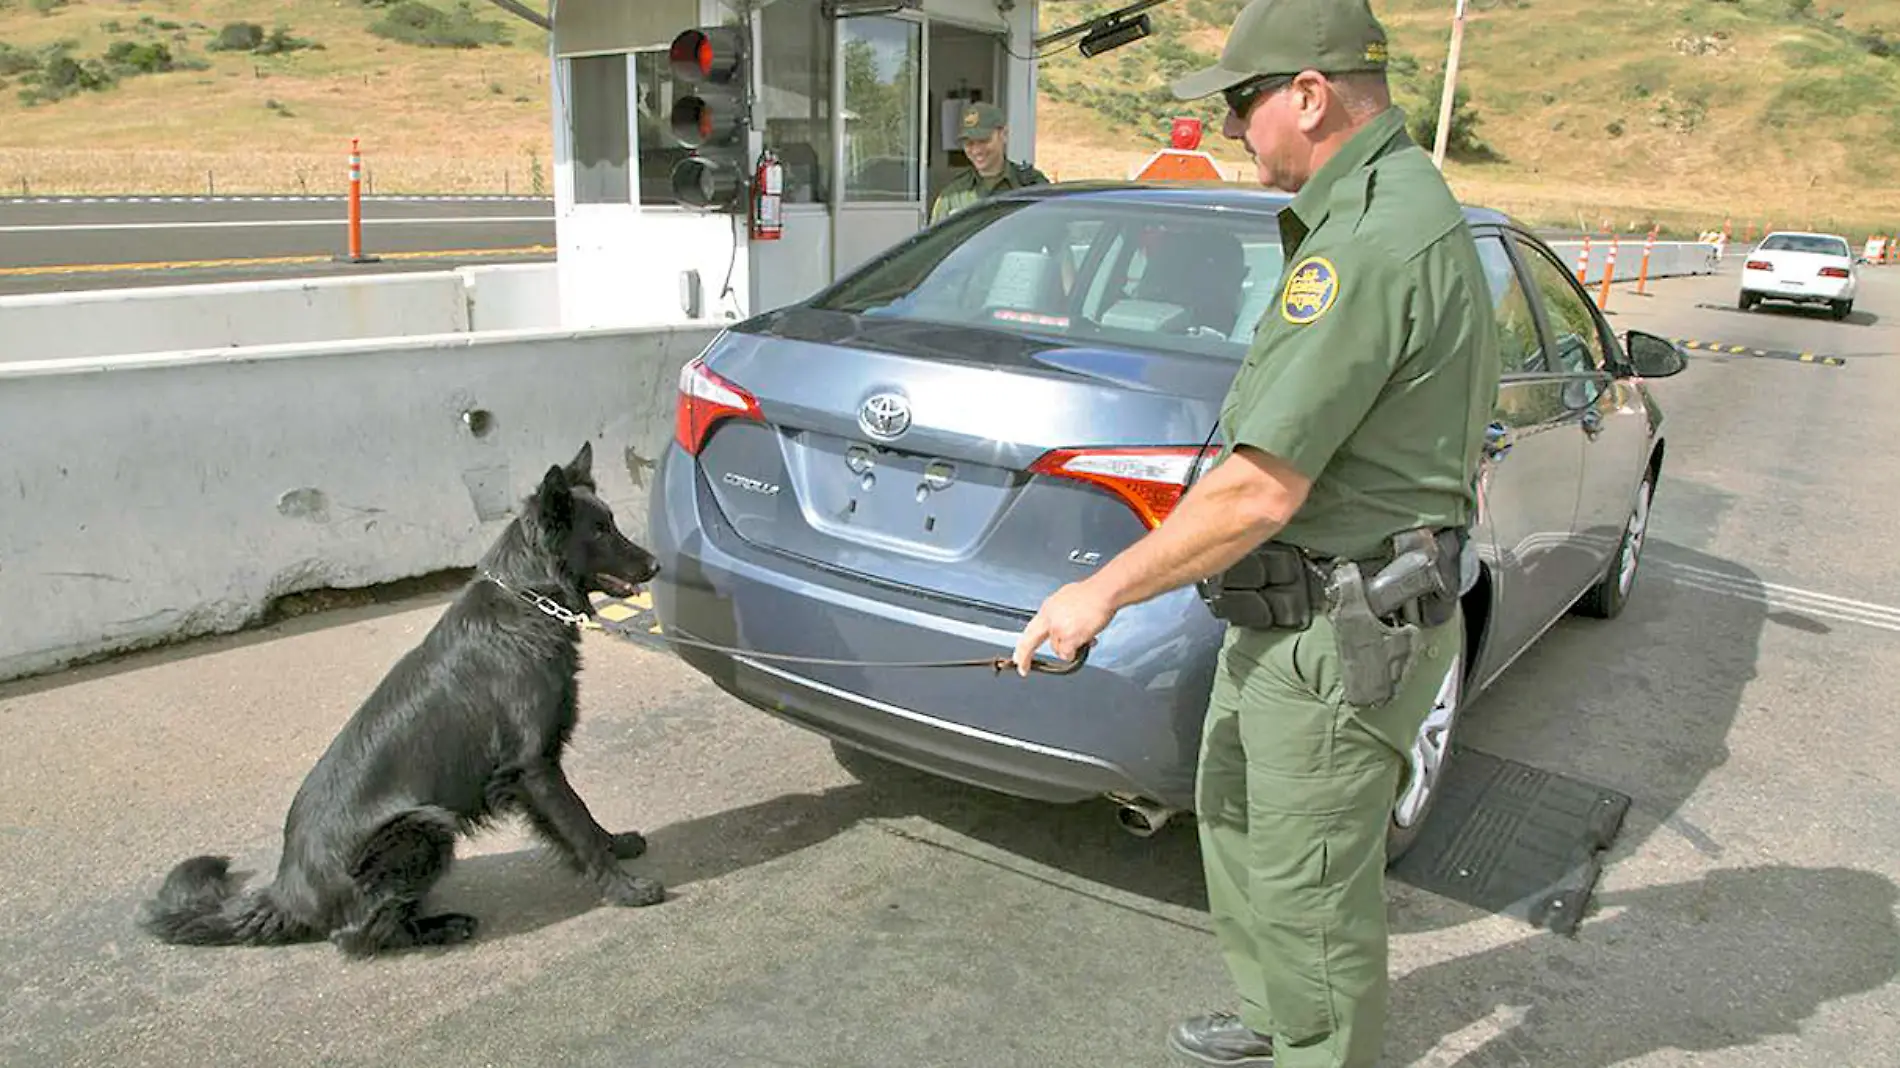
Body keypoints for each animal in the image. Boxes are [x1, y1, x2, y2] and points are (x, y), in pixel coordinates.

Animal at [138, 440, 668, 957]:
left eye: (611, 524)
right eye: (599, 532)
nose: (656, 565)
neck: (527, 600)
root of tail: (288, 893)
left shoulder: (538, 768)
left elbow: (584, 820)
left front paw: (615, 843)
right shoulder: (534, 767)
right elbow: (576, 825)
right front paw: (625, 890)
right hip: (423, 825)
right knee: (357, 936)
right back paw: (440, 927)